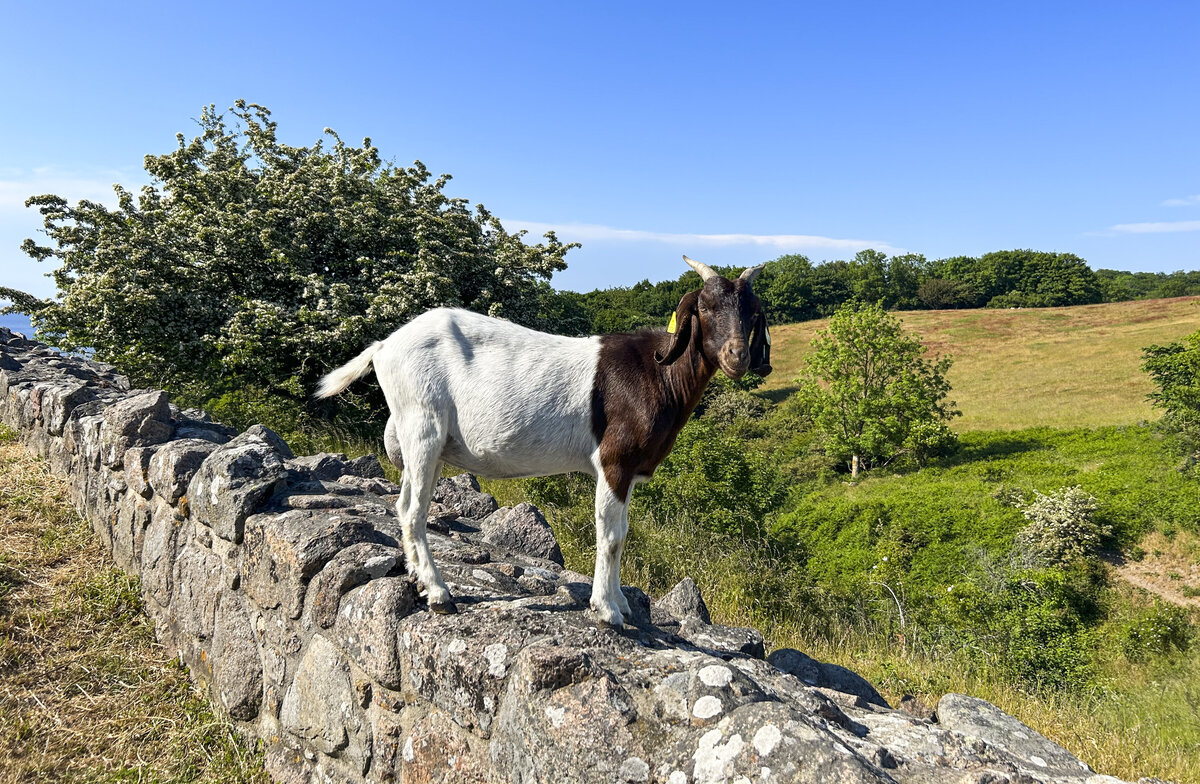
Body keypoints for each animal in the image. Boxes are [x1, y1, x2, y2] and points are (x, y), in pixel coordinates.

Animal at [314, 253, 772, 629]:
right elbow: (611, 535)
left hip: (422, 439)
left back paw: (418, 579)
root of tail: (384, 345)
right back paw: (440, 594)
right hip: (422, 422)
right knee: (413, 510)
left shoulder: (627, 472)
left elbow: (623, 531)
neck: (658, 372)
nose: (737, 357)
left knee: (405, 501)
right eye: (705, 308)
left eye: (751, 312)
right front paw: (607, 610)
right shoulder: (614, 461)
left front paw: (622, 603)